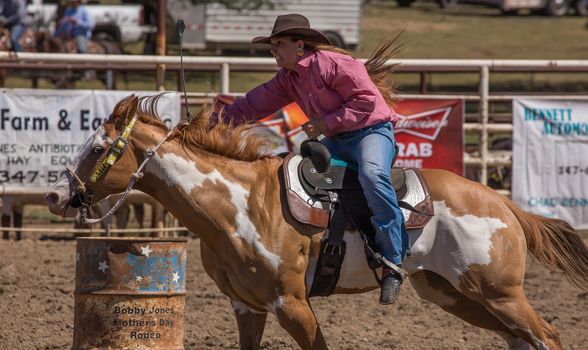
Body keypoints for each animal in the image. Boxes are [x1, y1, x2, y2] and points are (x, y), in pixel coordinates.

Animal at [46, 93, 588, 350]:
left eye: (98, 147)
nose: (55, 195)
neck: (239, 203)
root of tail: (503, 204)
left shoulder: (292, 303)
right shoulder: (247, 307)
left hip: (499, 291)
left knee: (545, 335)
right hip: (450, 292)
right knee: (519, 338)